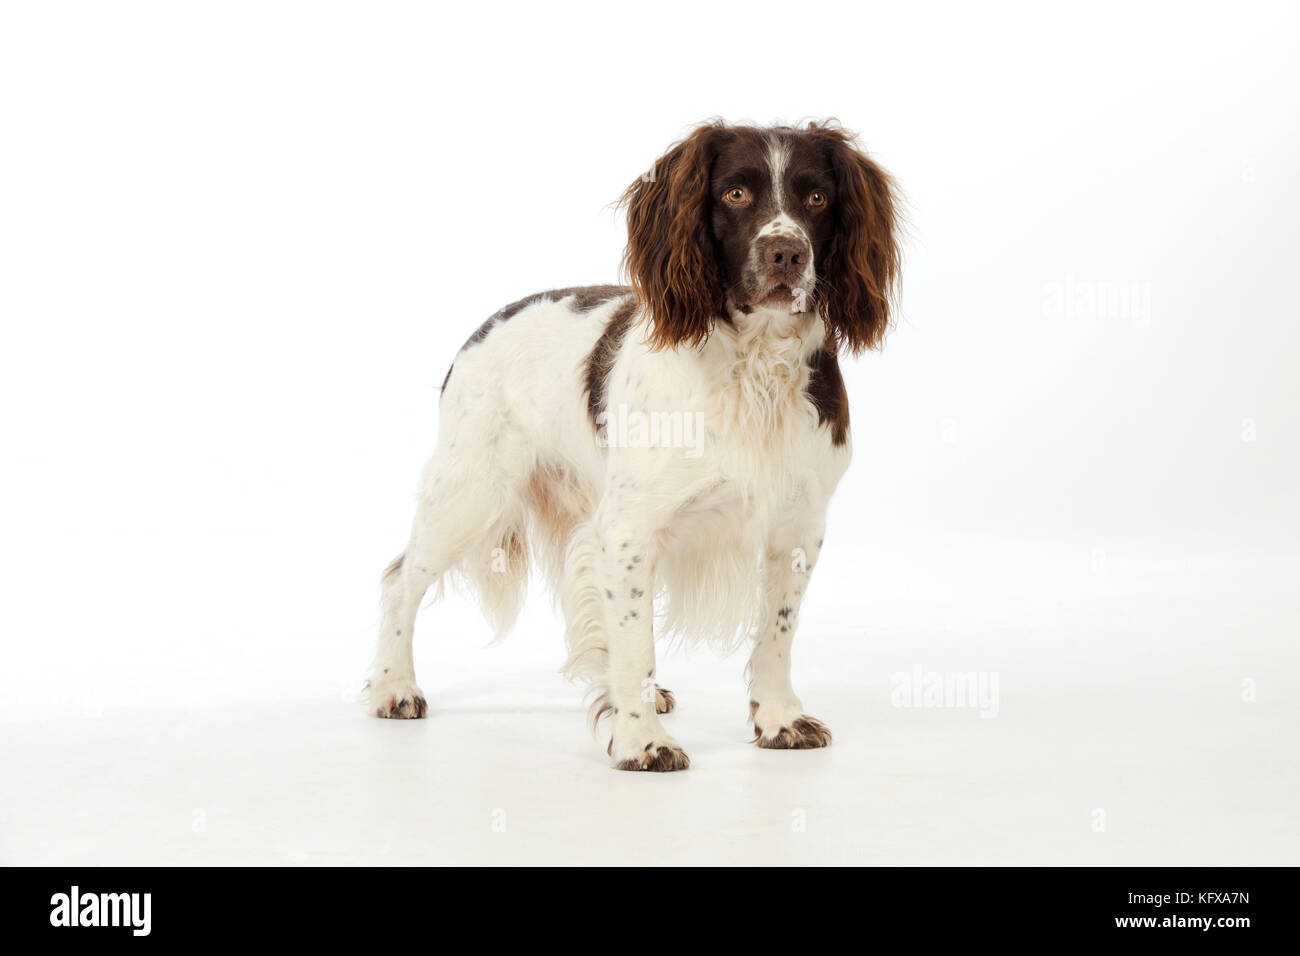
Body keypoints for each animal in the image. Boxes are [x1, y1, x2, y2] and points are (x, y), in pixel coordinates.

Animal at [364, 119, 894, 775]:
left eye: (817, 198)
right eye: (735, 194)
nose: (786, 253)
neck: (754, 365)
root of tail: (487, 326)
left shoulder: (797, 524)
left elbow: (777, 632)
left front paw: (779, 720)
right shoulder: (629, 527)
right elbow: (635, 638)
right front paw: (642, 740)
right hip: (469, 493)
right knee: (398, 580)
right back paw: (393, 687)